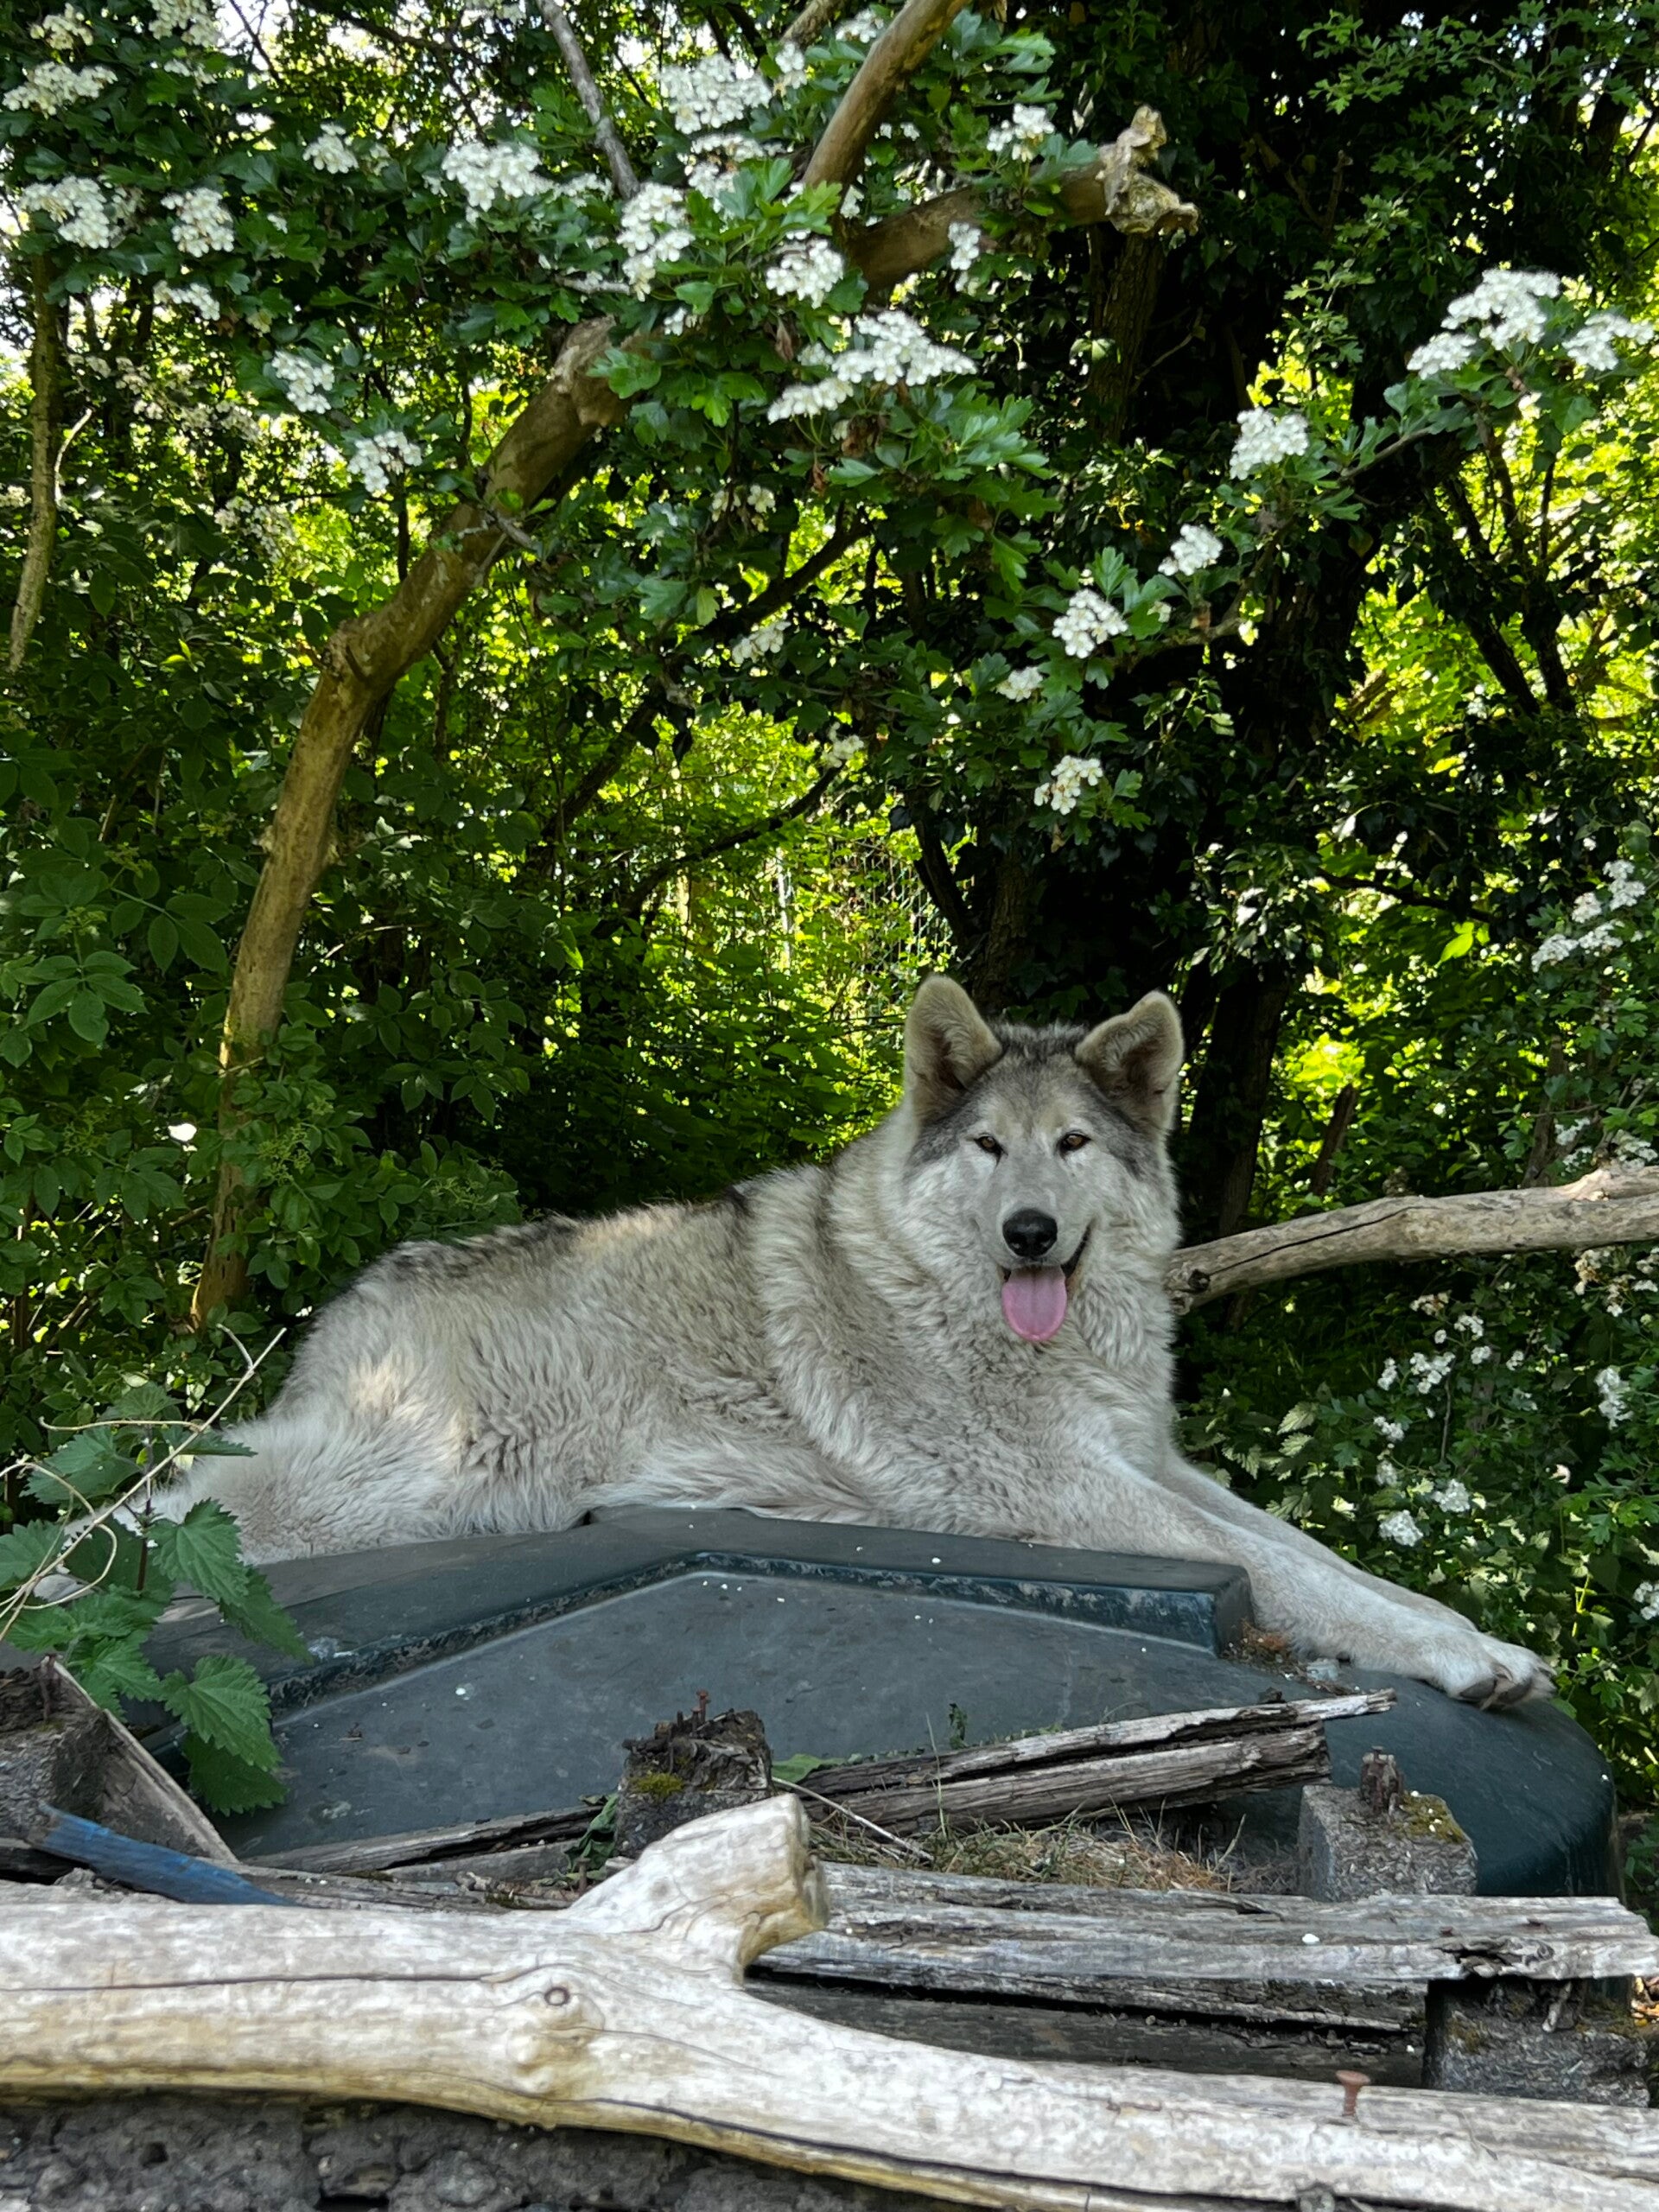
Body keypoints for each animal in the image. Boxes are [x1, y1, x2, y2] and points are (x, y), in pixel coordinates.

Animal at [164, 977, 1550, 1707]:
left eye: (1073, 1145)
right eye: (988, 1147)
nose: (1032, 1231)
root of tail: (354, 1300)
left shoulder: (1150, 1463)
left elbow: (1315, 1555)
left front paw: (1477, 1636)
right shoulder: (1072, 1491)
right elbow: (1288, 1573)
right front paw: (1452, 1655)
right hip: (384, 1481)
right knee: (161, 1508)